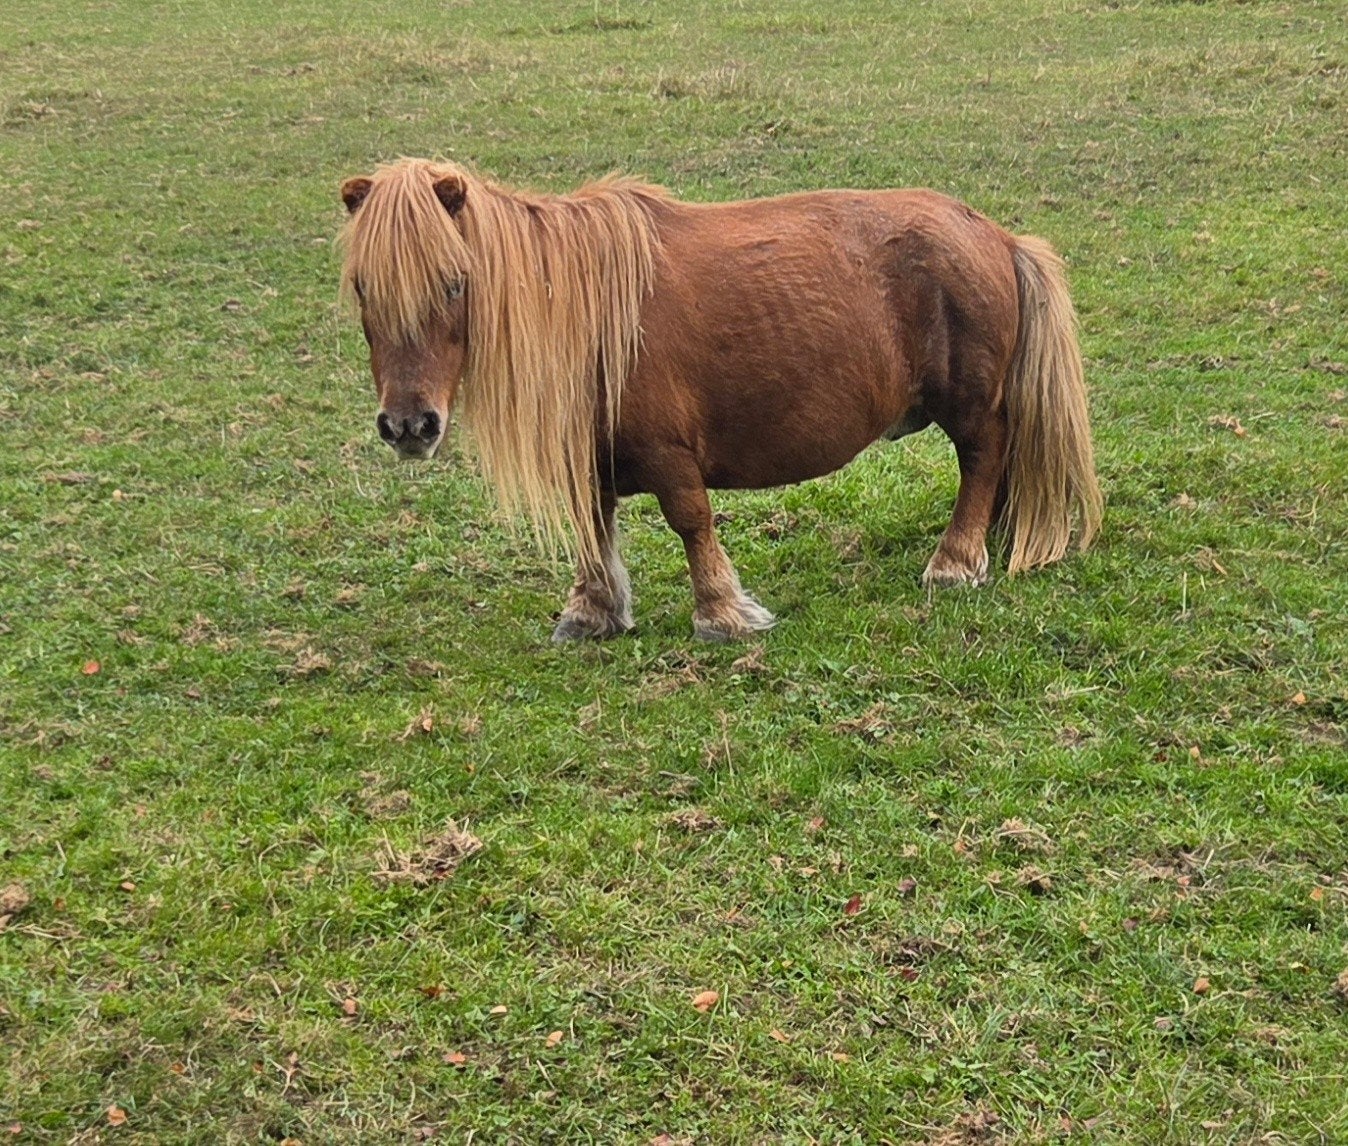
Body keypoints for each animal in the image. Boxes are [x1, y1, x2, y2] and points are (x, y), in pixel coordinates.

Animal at [337, 158, 1101, 642]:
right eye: (363, 288)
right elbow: (593, 528)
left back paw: (955, 562)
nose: (409, 425)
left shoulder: (669, 453)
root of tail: (996, 235)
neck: (592, 313)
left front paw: (722, 615)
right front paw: (592, 613)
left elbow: (691, 522)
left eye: (455, 282)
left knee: (982, 461)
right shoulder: (592, 457)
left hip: (970, 405)